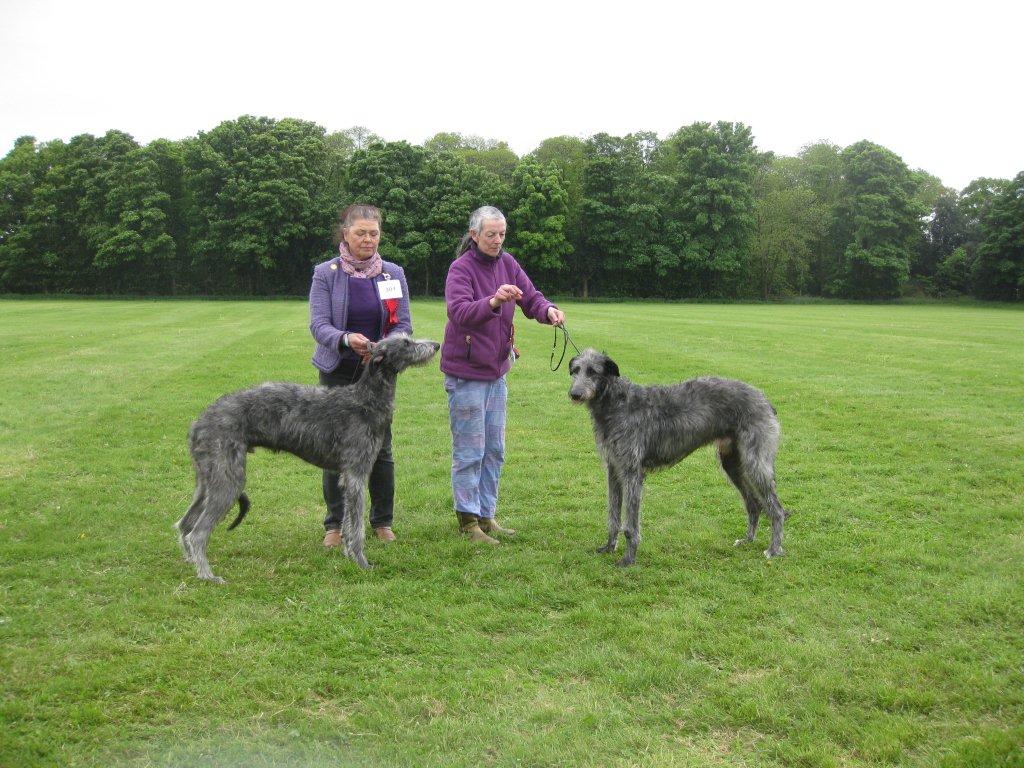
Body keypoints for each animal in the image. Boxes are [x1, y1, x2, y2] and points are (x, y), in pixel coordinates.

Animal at [177, 335, 440, 581]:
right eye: (406, 343)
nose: (436, 345)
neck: (365, 400)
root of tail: (198, 423)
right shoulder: (357, 474)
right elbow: (357, 527)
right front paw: (362, 562)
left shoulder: (347, 477)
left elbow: (347, 523)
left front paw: (348, 555)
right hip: (228, 479)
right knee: (197, 533)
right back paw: (207, 575)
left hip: (208, 478)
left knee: (184, 524)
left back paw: (191, 563)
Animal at [565, 348, 786, 565]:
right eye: (575, 370)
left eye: (593, 371)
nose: (575, 394)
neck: (616, 403)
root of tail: (764, 400)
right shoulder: (613, 469)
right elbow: (613, 516)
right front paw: (609, 547)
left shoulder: (632, 472)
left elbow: (630, 525)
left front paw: (628, 559)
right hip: (732, 463)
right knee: (753, 505)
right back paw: (748, 540)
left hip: (755, 462)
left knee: (777, 509)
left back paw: (773, 549)